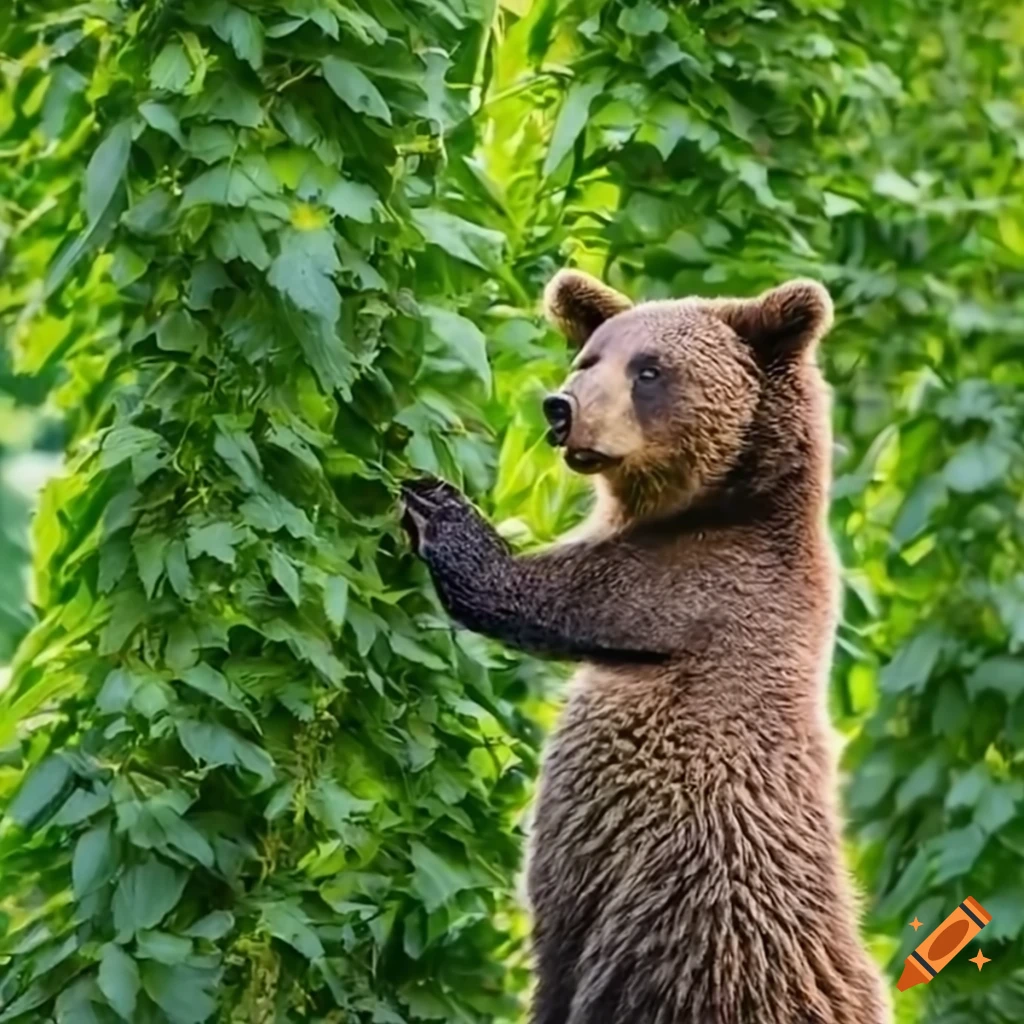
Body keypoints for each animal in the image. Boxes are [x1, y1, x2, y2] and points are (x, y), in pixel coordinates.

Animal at [399, 269, 890, 1024]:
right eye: (588, 358)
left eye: (649, 369)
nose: (560, 408)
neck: (726, 501)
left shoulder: (702, 585)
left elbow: (542, 595)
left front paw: (439, 506)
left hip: (692, 941)